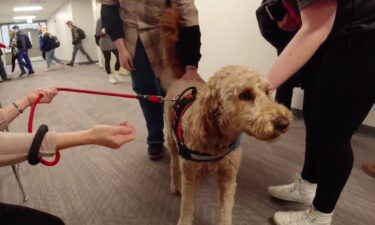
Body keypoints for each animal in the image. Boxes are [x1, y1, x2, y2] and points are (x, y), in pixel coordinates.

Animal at [160, 4, 292, 225]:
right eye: (245, 94)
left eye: (267, 92)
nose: (283, 123)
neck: (218, 141)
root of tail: (181, 78)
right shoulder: (190, 178)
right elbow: (187, 207)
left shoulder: (228, 178)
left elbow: (226, 209)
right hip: (171, 139)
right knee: (173, 164)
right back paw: (174, 184)